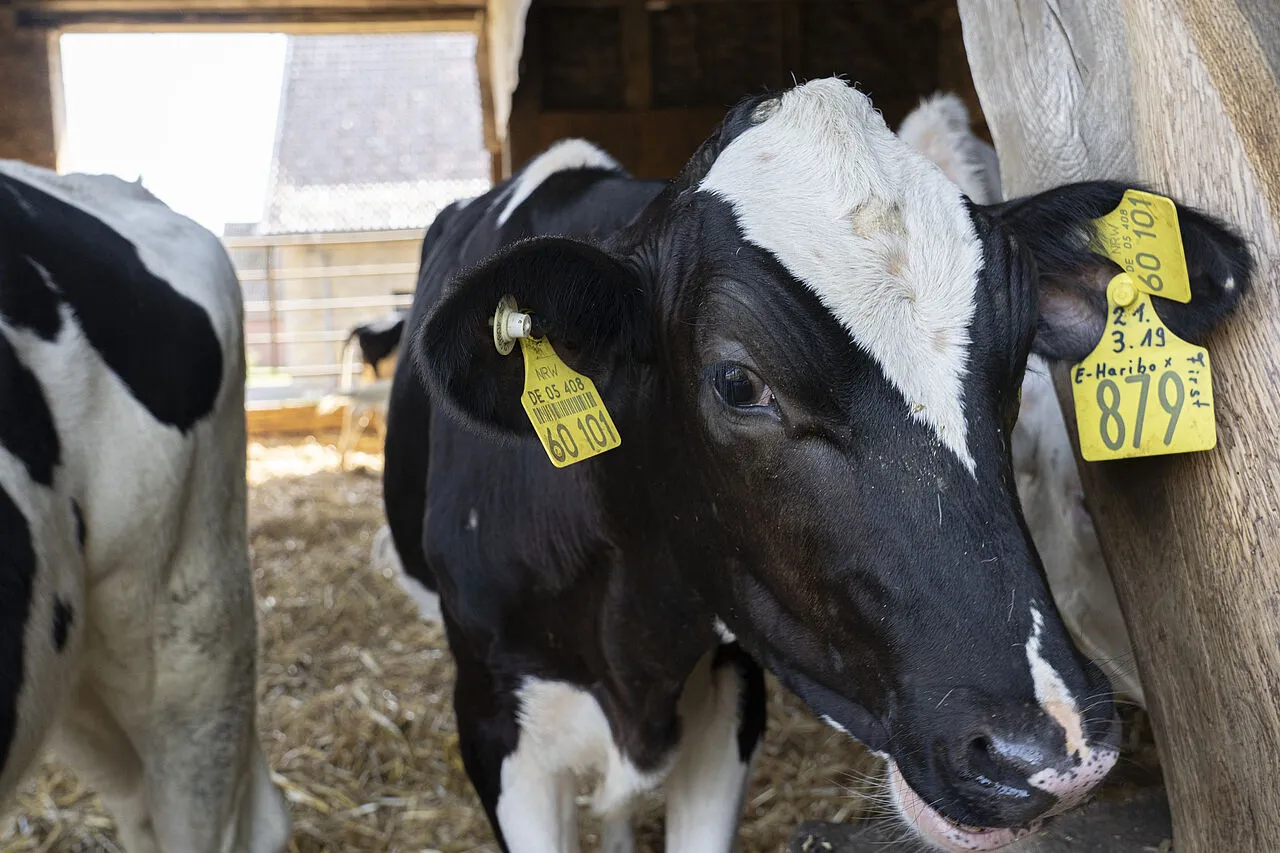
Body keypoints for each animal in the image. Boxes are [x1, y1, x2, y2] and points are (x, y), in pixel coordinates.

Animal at [383, 78, 1249, 852]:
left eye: (1020, 348)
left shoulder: (731, 699)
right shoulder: (495, 723)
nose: (1047, 753)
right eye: (738, 382)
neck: (637, 646)